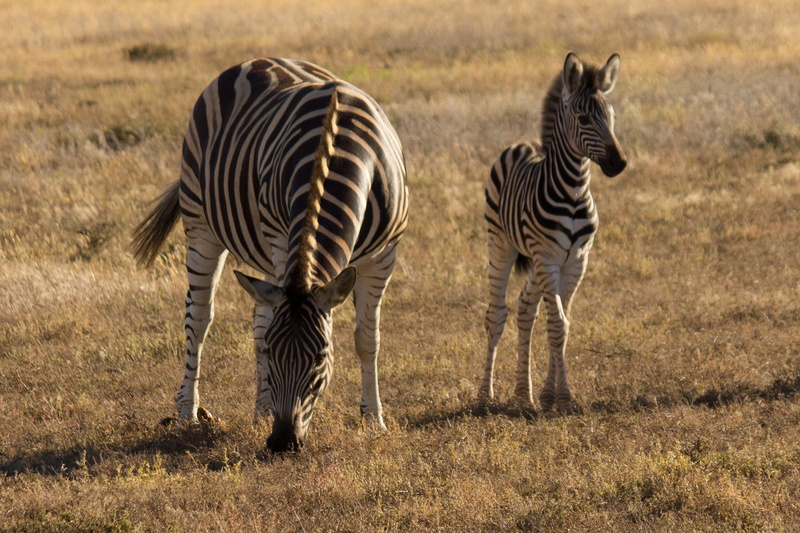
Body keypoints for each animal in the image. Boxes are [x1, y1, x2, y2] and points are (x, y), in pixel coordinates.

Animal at [132, 58, 408, 452]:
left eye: (321, 358)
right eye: (275, 356)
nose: (282, 441)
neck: (335, 152)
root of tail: (256, 61)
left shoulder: (385, 254)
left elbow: (367, 339)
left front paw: (373, 420)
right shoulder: (281, 237)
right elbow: (264, 332)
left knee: (260, 317)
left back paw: (261, 410)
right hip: (200, 221)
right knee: (199, 318)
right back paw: (188, 411)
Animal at [479, 52, 627, 414]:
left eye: (611, 116)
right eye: (583, 117)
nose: (619, 163)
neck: (573, 192)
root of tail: (522, 143)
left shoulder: (576, 261)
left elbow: (563, 323)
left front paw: (552, 396)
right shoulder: (548, 258)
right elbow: (557, 324)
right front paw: (561, 398)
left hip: (536, 261)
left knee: (524, 309)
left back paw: (523, 392)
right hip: (500, 243)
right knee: (496, 314)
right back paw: (484, 395)